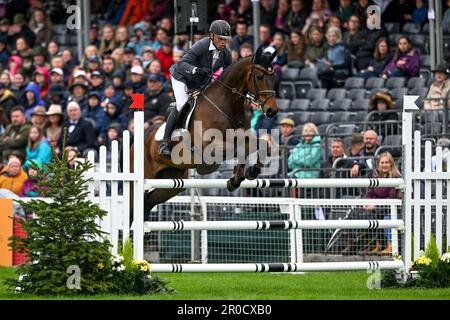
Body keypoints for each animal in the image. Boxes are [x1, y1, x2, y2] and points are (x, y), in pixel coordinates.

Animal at [129, 45, 278, 215]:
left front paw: (244, 175)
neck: (226, 107)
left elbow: (261, 145)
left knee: (148, 202)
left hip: (171, 181)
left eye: (273, 76)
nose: (272, 111)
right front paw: (239, 176)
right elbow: (240, 148)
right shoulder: (211, 148)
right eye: (259, 76)